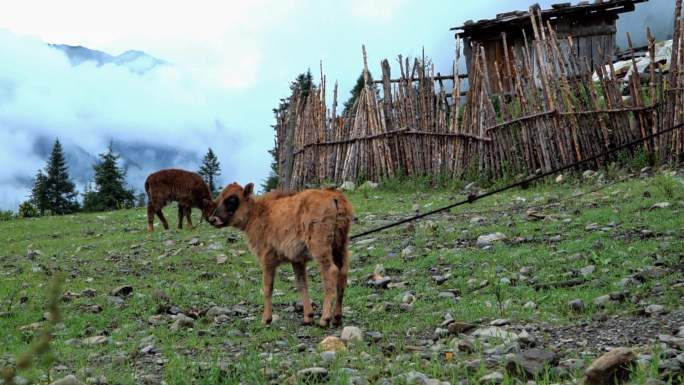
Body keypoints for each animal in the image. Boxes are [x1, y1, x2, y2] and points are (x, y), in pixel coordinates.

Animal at [208, 183, 352, 328]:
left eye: (232, 200)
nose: (212, 219)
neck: (257, 213)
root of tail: (334, 196)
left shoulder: (267, 259)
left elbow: (267, 288)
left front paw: (266, 319)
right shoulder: (297, 260)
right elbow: (302, 285)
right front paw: (308, 317)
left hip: (320, 248)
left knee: (331, 272)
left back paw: (325, 318)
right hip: (340, 247)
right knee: (342, 274)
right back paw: (337, 318)